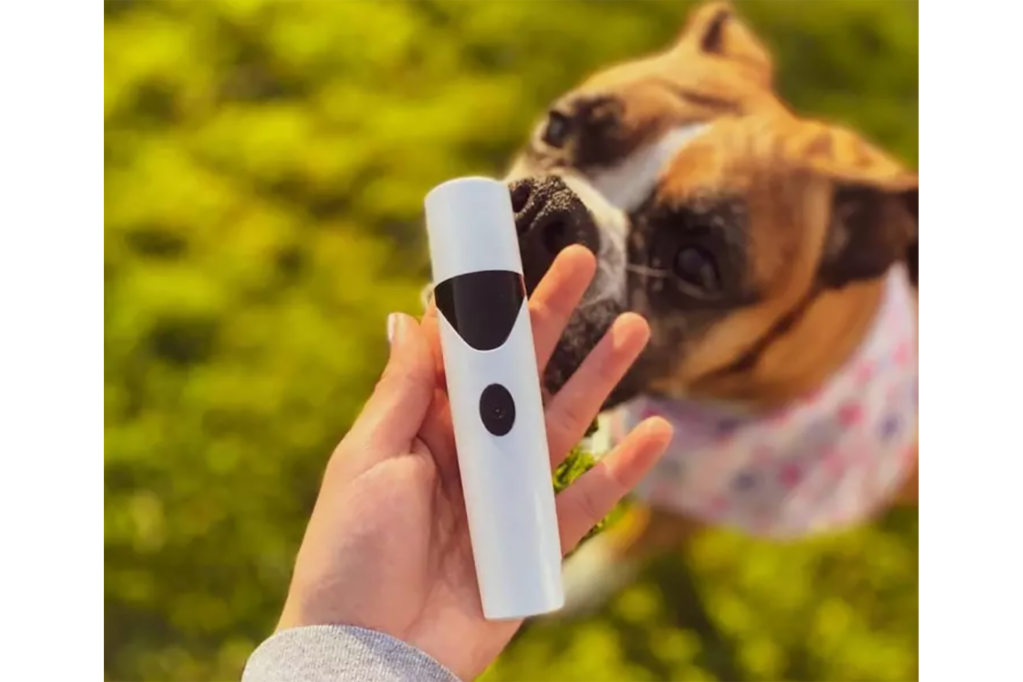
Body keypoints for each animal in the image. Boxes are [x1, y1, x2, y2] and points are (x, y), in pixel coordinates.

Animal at [423, 0, 920, 617]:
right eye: (557, 126)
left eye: (694, 263)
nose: (548, 206)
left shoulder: (689, 509)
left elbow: (632, 543)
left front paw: (581, 586)